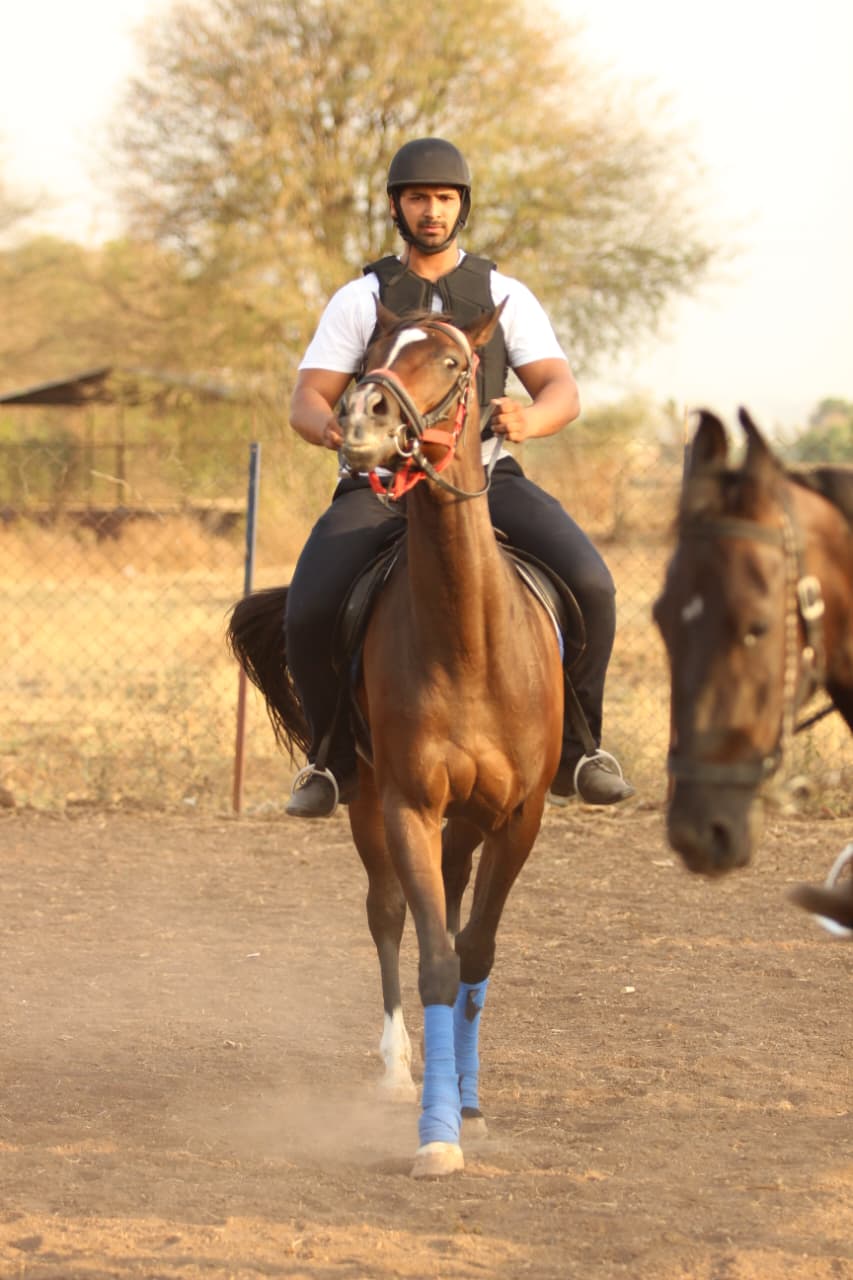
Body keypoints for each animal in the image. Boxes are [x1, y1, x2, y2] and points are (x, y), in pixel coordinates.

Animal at [228, 301, 565, 1176]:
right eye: (375, 351)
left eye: (451, 363)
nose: (361, 422)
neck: (468, 639)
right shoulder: (408, 805)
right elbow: (435, 959)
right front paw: (436, 1132)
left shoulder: (518, 820)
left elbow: (474, 951)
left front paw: (469, 1104)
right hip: (368, 796)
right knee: (388, 913)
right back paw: (394, 1069)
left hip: (470, 820)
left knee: (448, 901)